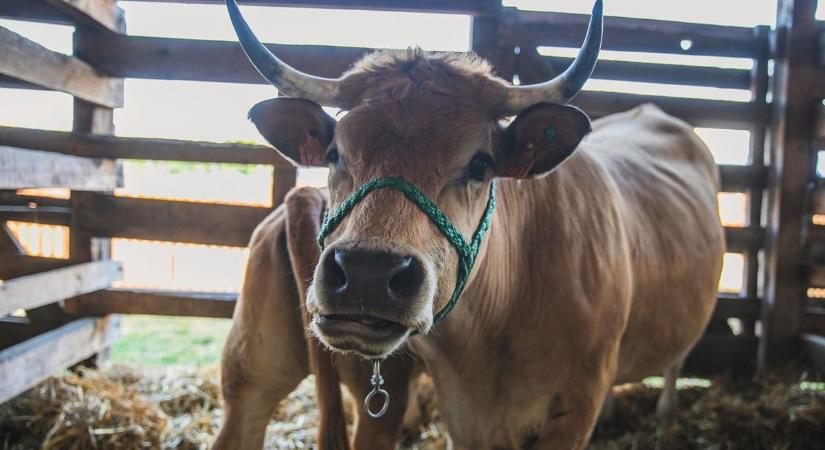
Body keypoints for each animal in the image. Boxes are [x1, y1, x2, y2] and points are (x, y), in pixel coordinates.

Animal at [212, 0, 720, 446]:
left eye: (480, 164)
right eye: (335, 153)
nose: (367, 273)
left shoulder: (576, 408)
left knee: (676, 361)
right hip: (250, 376)